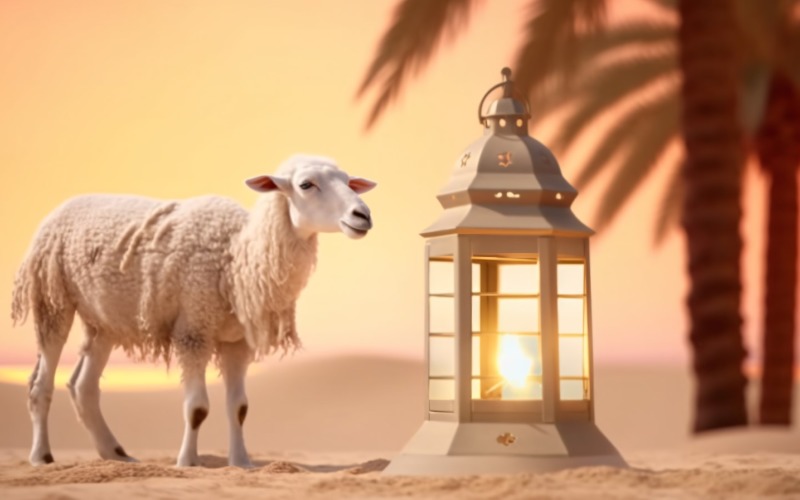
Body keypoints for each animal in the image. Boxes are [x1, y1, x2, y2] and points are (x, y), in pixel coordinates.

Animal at [10, 154, 376, 468]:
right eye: (305, 184)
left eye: (349, 181)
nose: (363, 216)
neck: (238, 257)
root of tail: (65, 205)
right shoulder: (193, 329)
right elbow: (198, 408)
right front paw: (187, 462)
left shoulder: (236, 341)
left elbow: (239, 408)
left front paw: (241, 463)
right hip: (53, 300)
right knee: (41, 385)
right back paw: (41, 456)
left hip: (106, 320)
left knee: (83, 387)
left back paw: (115, 454)